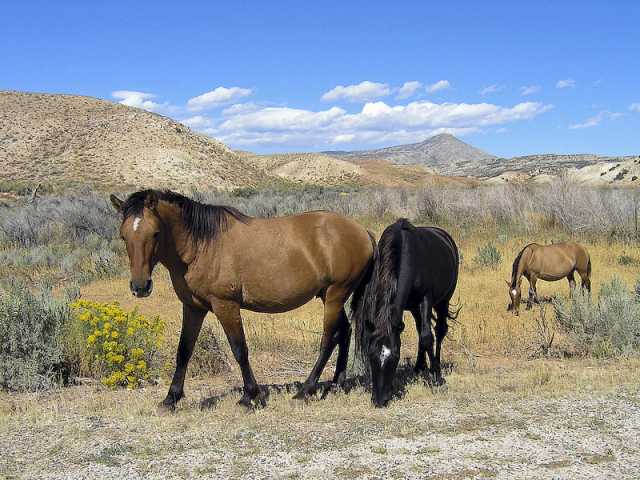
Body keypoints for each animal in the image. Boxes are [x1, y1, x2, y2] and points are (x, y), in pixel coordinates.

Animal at [109, 189, 375, 411]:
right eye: (123, 236)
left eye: (155, 233)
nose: (140, 286)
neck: (201, 246)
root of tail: (362, 231)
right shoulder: (193, 308)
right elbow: (184, 351)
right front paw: (170, 398)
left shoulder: (225, 305)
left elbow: (239, 350)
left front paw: (250, 397)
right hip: (329, 296)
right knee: (345, 332)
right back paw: (336, 384)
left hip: (335, 295)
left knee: (328, 339)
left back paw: (305, 391)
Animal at [352, 218, 459, 407]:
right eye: (371, 356)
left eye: (396, 357)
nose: (379, 400)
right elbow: (422, 335)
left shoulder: (426, 298)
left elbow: (427, 337)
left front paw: (436, 378)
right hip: (415, 308)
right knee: (420, 329)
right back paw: (419, 366)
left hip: (443, 301)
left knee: (439, 331)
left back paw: (436, 366)